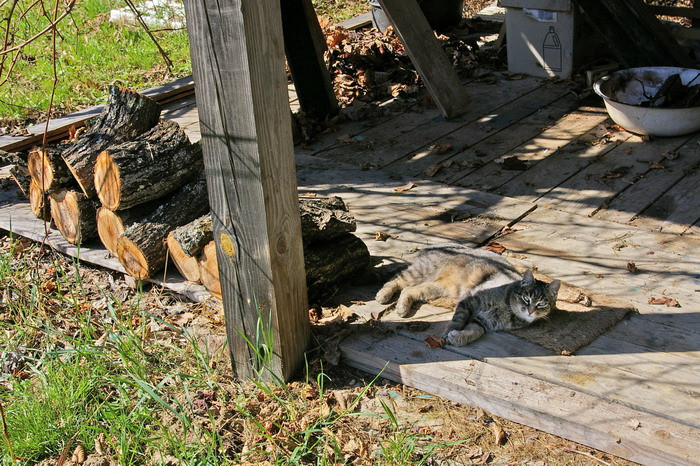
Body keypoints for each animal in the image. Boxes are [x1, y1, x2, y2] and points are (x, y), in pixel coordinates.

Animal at [374, 244, 560, 346]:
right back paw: (383, 294)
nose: (530, 311)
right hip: (420, 272)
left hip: (436, 287)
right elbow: (457, 321)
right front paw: (448, 333)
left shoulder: (483, 321)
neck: (508, 311)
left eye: (542, 303)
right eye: (526, 298)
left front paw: (459, 338)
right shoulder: (469, 301)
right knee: (396, 281)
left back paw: (402, 307)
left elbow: (475, 332)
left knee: (408, 290)